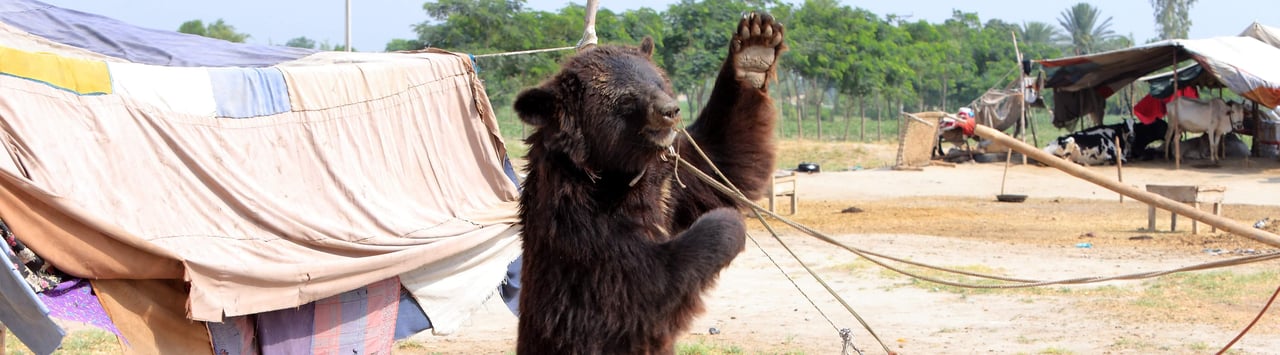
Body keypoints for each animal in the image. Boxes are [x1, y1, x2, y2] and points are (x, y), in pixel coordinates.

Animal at [514, 11, 783, 353]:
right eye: (626, 97)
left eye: (657, 81)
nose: (670, 109)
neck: (615, 173)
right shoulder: (580, 227)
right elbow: (641, 285)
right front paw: (725, 222)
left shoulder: (669, 181)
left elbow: (721, 157)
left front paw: (755, 45)